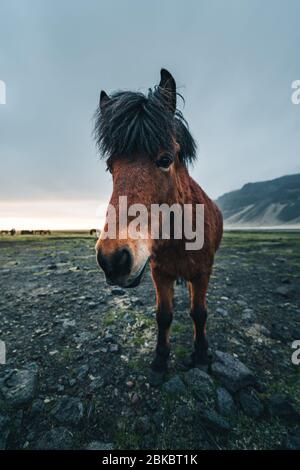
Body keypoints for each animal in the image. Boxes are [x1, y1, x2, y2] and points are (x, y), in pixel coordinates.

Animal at [94, 69, 223, 378]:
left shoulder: (202, 273)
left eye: (165, 159)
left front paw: (201, 354)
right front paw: (160, 360)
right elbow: (163, 316)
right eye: (110, 166)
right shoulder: (159, 273)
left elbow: (199, 313)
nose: (112, 259)